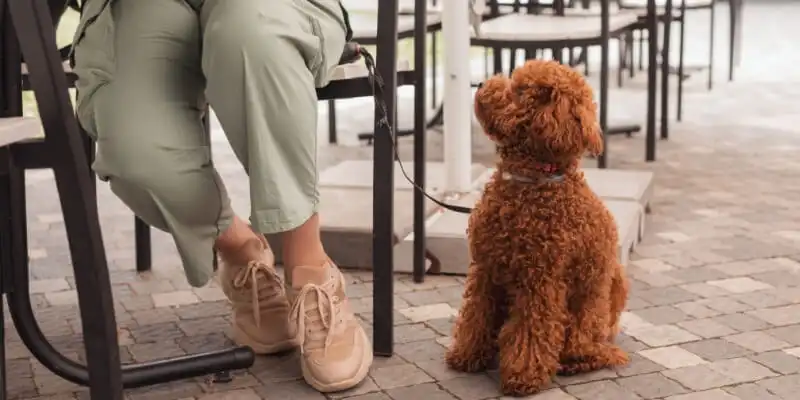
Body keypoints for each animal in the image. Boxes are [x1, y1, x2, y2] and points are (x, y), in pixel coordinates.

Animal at [444, 60, 632, 396]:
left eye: (520, 91)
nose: (480, 84)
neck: (530, 182)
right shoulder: (485, 268)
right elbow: (476, 315)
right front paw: (467, 355)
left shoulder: (540, 281)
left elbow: (531, 330)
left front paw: (523, 375)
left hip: (594, 309)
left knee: (591, 350)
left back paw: (574, 362)